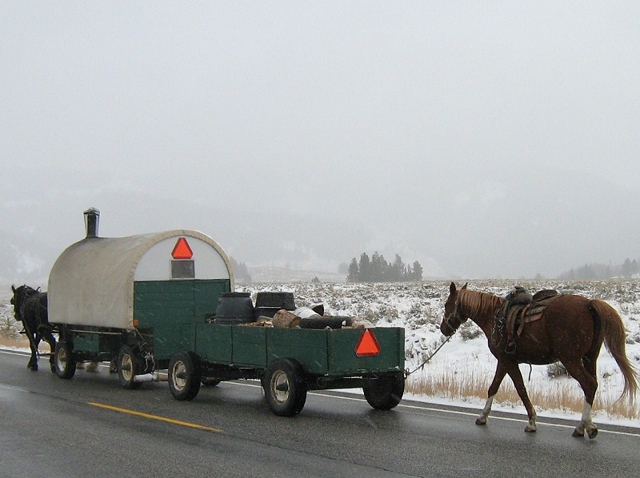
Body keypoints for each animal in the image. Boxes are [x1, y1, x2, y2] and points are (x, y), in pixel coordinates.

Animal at [442, 282, 636, 438]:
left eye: (447, 304)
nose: (444, 329)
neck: (494, 317)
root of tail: (589, 304)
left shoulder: (508, 362)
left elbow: (520, 389)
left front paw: (532, 422)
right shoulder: (504, 361)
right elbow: (493, 387)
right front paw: (482, 416)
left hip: (571, 360)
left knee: (588, 384)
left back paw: (583, 427)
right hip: (590, 358)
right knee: (592, 385)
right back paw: (587, 426)